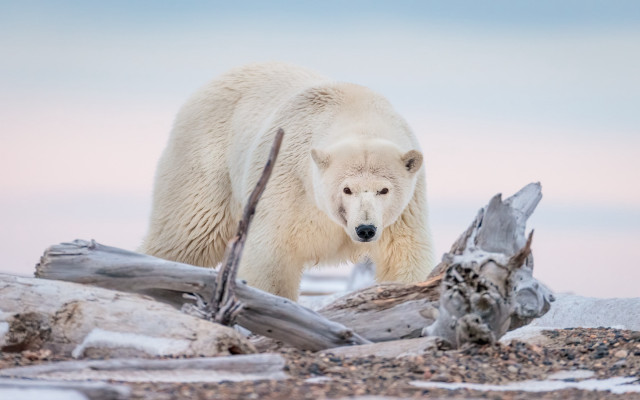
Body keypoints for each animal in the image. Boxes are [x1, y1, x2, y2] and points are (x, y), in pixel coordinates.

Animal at [140, 63, 435, 300]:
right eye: (346, 189)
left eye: (384, 189)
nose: (365, 230)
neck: (355, 111)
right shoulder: (287, 184)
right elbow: (272, 258)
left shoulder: (406, 209)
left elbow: (404, 255)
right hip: (206, 160)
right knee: (188, 234)